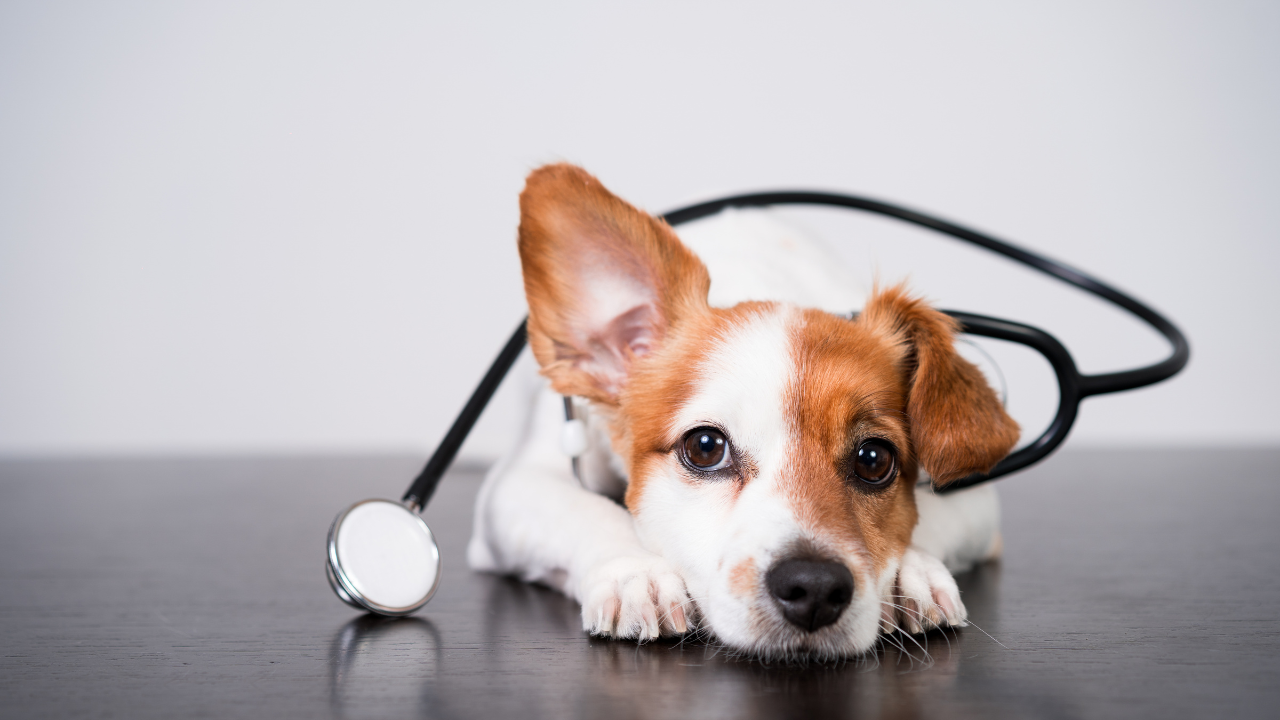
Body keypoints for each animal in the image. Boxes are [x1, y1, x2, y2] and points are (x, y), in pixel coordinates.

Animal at [465, 165, 1013, 661]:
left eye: (875, 459)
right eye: (705, 447)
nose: (814, 587)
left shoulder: (976, 502)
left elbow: (930, 517)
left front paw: (908, 572)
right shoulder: (517, 485)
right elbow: (588, 511)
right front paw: (636, 572)